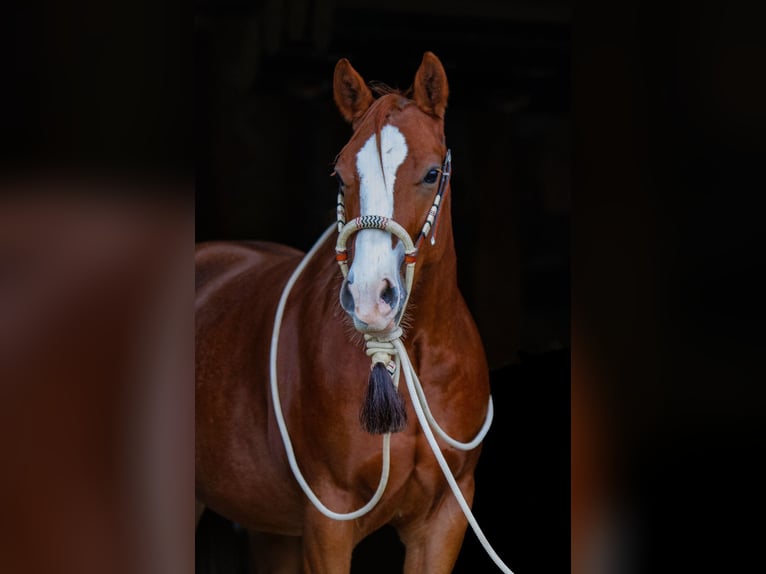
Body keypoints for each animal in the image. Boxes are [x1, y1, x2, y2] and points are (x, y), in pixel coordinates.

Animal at [196, 52, 502, 573]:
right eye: (340, 175)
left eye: (432, 174)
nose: (369, 297)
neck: (412, 358)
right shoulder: (329, 518)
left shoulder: (444, 517)